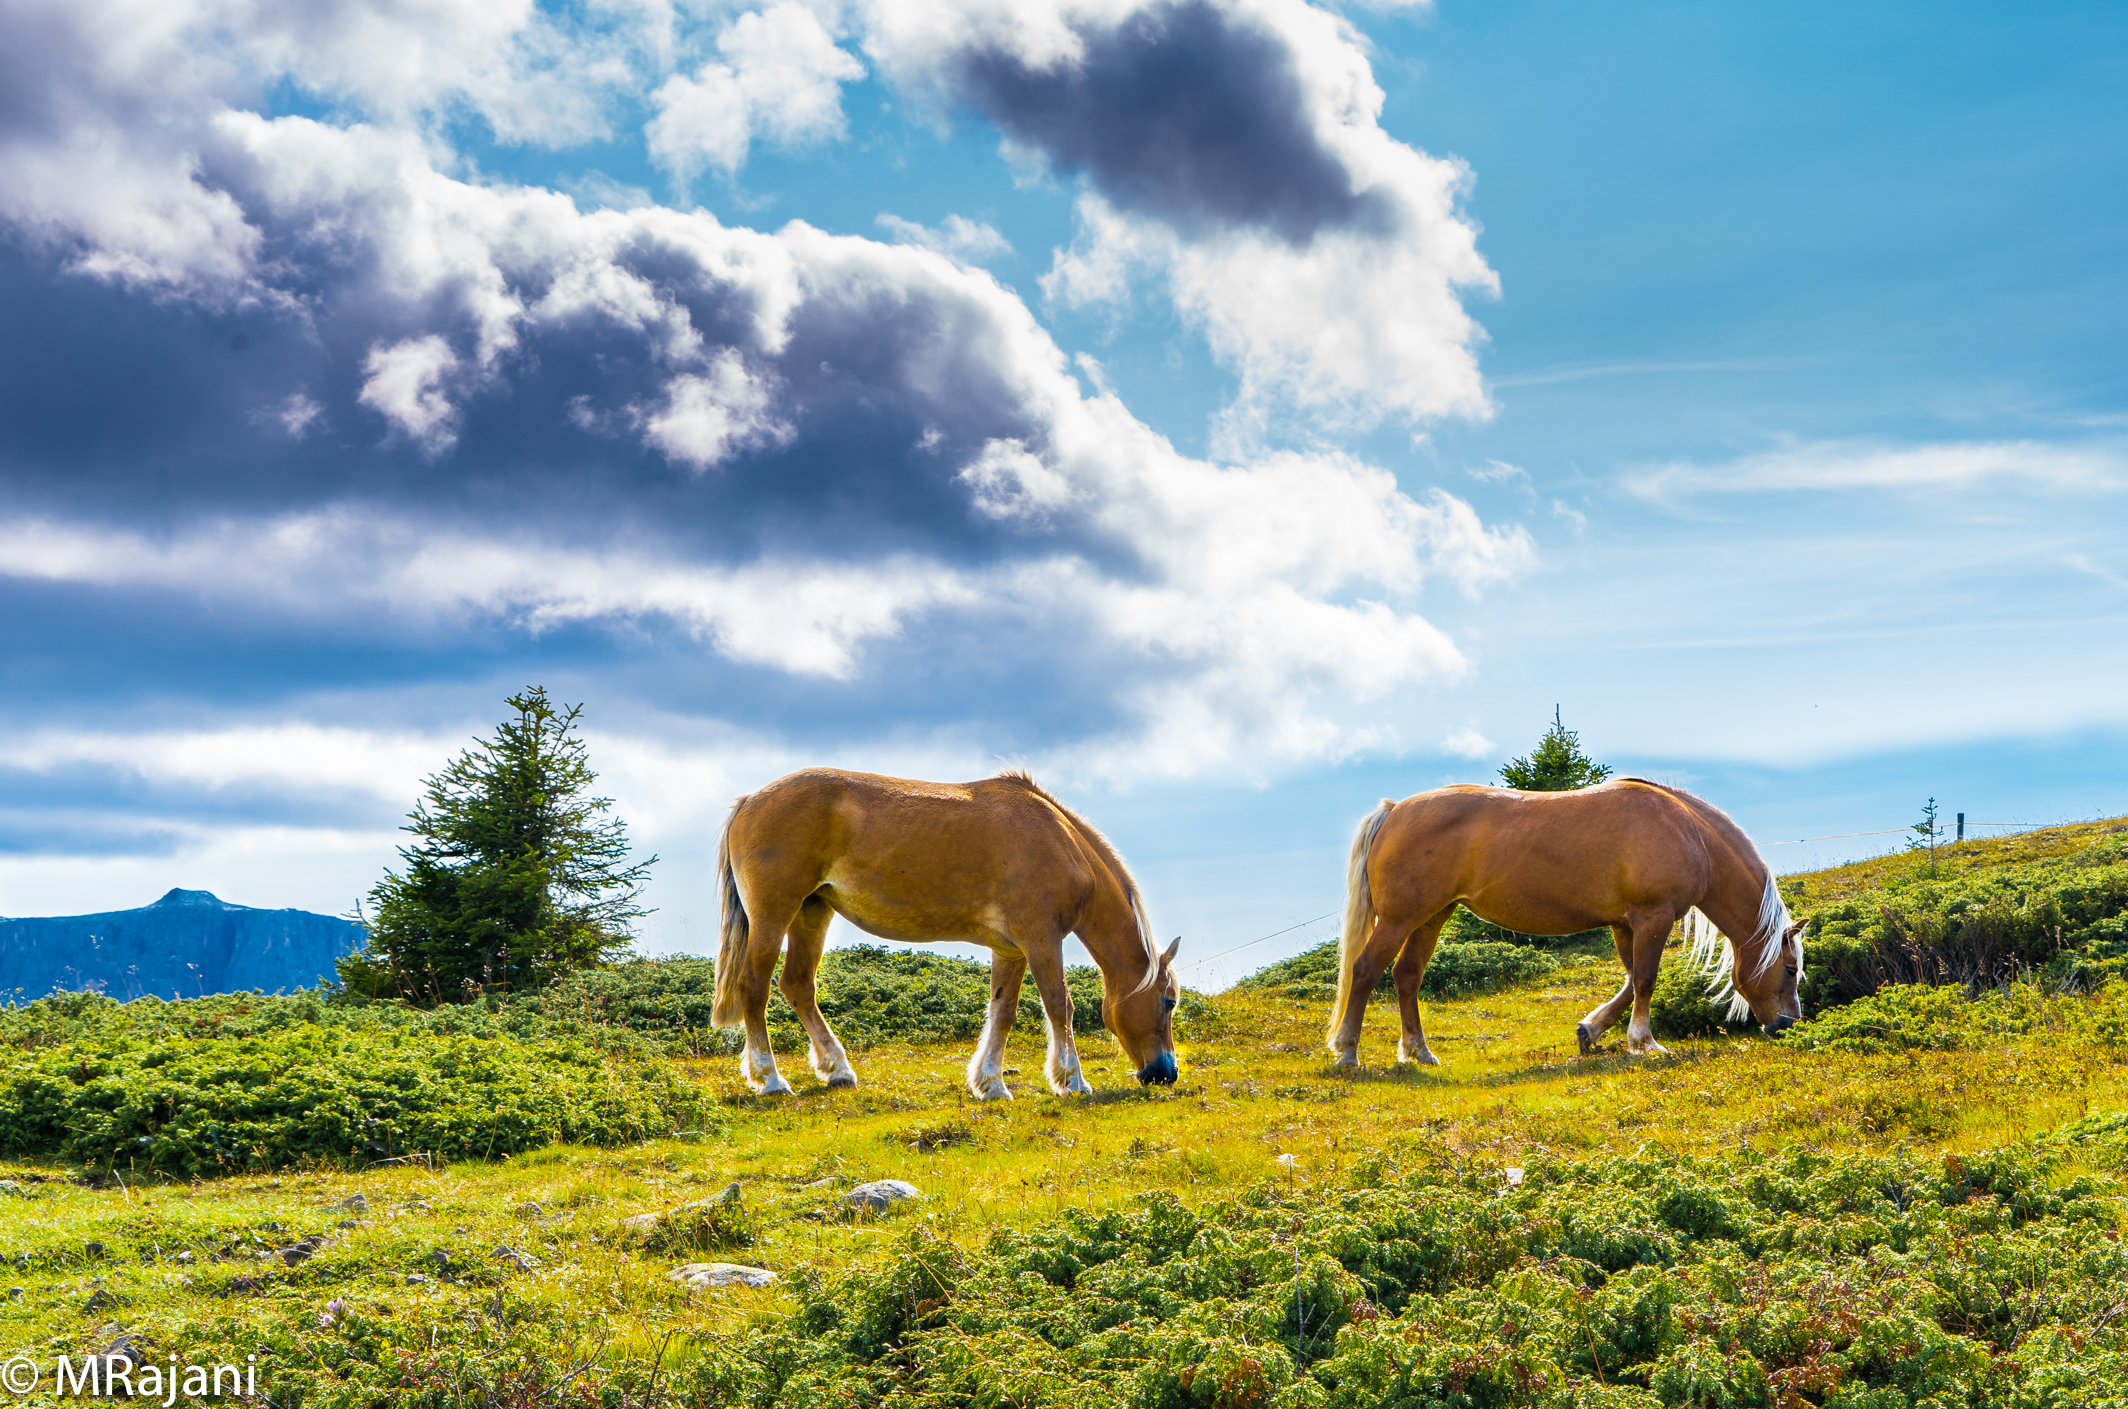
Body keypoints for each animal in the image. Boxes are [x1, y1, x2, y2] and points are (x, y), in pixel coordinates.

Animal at [710, 767, 1181, 1099]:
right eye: (1169, 1001)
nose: (1166, 1072)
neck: (1059, 841)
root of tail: (748, 802)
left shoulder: (1011, 949)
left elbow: (1003, 1012)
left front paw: (991, 1084)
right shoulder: (1042, 939)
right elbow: (1058, 1005)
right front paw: (1073, 1081)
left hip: (812, 912)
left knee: (798, 985)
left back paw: (837, 1069)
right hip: (774, 915)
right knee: (754, 986)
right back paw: (770, 1079)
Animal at [1327, 778, 1806, 1065]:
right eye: (1789, 969)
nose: (1787, 1025)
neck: (1687, 832)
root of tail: (1394, 810)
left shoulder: (1625, 924)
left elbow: (1631, 980)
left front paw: (1591, 1029)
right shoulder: (1652, 917)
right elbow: (1646, 979)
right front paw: (1644, 1042)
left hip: (1430, 919)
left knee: (1407, 976)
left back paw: (1419, 1052)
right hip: (1398, 920)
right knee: (1365, 970)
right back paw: (1348, 1051)